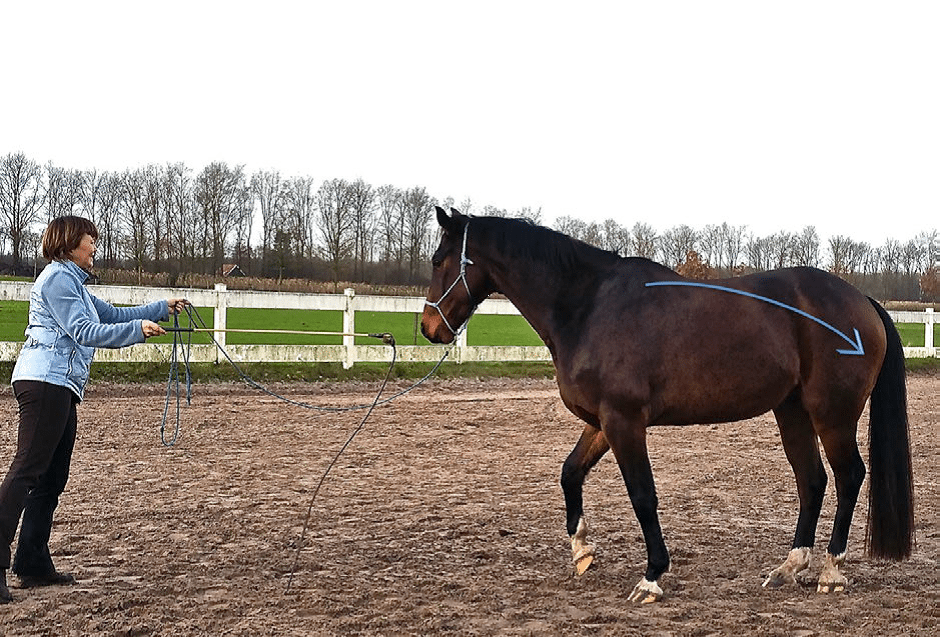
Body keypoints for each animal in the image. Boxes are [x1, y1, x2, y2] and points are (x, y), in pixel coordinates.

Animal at [422, 207, 916, 600]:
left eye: (438, 260)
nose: (430, 328)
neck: (588, 305)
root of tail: (861, 300)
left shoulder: (624, 422)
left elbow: (643, 496)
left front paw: (652, 576)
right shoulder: (602, 422)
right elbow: (570, 473)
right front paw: (582, 550)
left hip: (832, 416)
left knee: (849, 476)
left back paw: (831, 570)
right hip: (791, 412)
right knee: (811, 481)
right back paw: (789, 567)